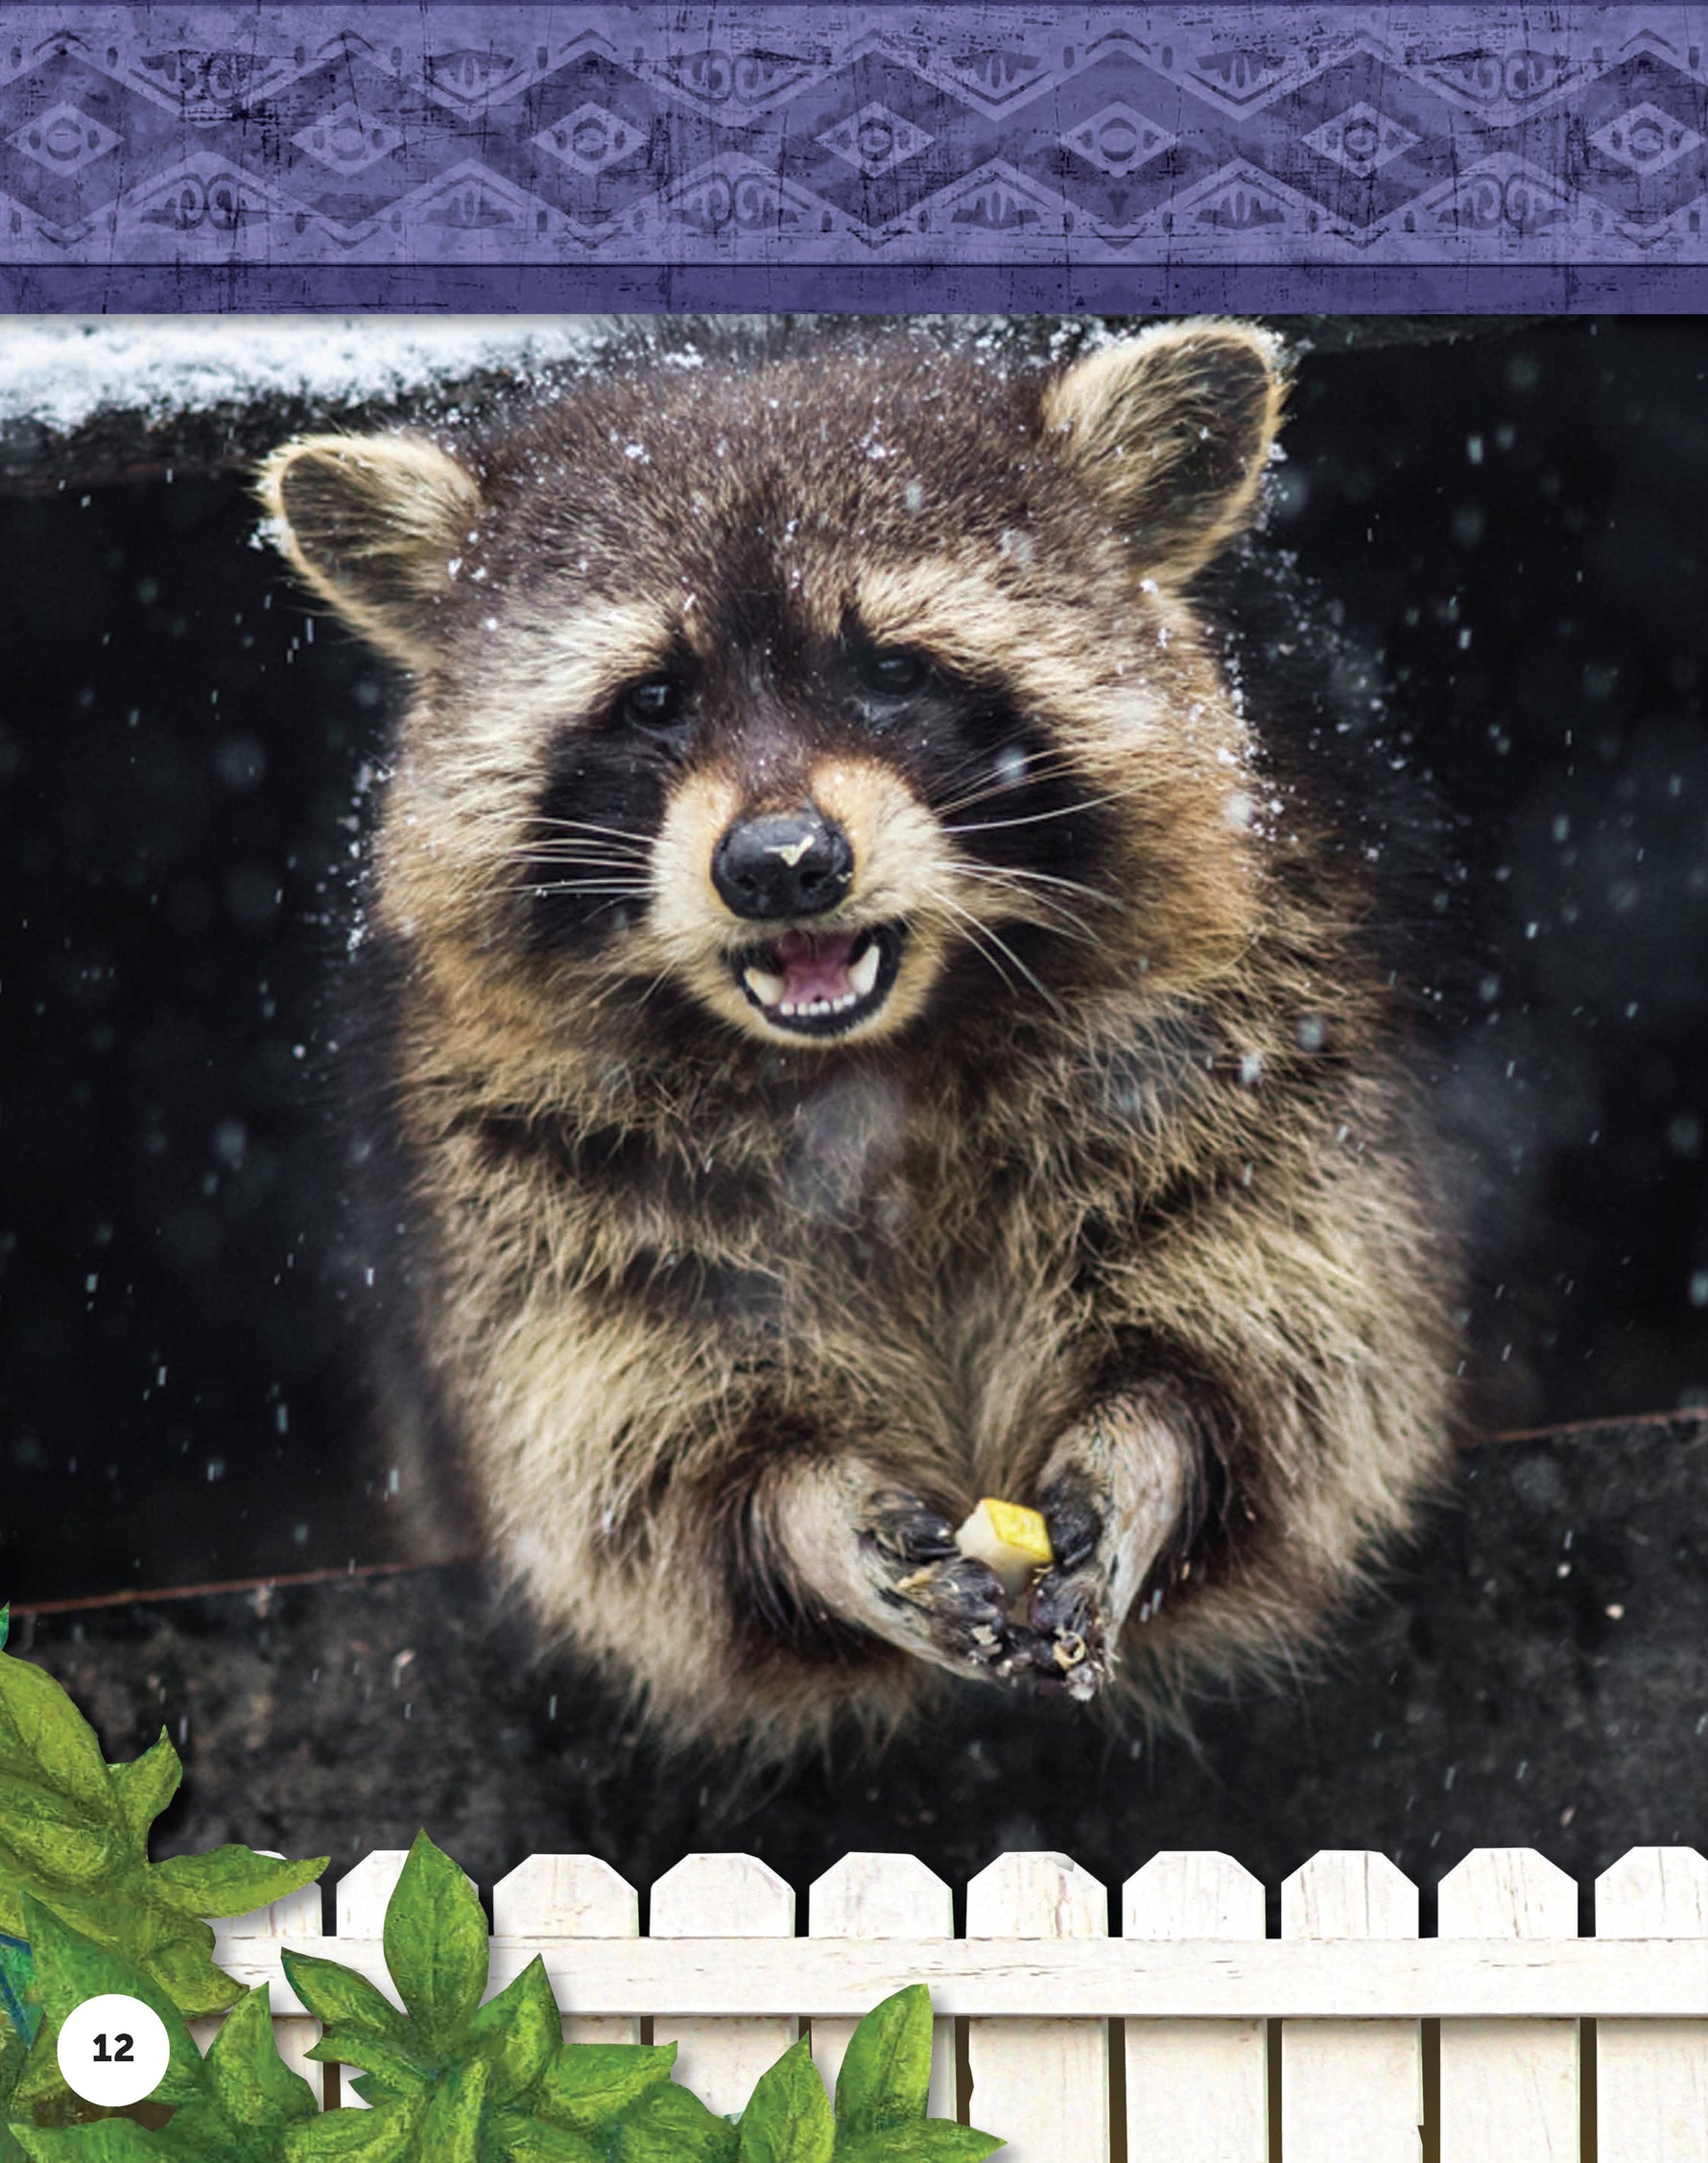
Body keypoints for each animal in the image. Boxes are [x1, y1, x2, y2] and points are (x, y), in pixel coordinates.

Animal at [261, 318, 1461, 1762]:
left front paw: (1146, 1450)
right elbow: (631, 1482)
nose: (780, 864)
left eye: (892, 669)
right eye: (653, 699)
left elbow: (1292, 1365)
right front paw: (811, 1518)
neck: (871, 1058)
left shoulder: (1258, 1038)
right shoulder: (517, 1177)